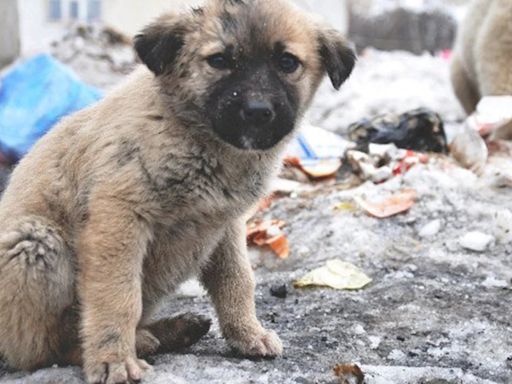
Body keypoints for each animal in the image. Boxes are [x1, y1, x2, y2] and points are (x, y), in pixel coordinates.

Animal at [0, 0, 354, 384]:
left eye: (288, 62)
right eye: (219, 60)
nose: (258, 112)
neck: (194, 133)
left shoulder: (224, 224)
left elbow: (237, 280)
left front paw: (248, 334)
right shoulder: (117, 217)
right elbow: (118, 297)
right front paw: (113, 360)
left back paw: (171, 330)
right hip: (33, 241)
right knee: (42, 350)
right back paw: (134, 343)